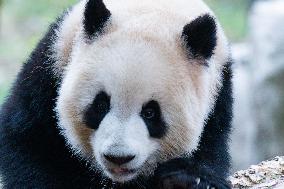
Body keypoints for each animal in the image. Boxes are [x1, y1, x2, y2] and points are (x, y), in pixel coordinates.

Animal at [0, 0, 232, 189]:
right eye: (101, 104)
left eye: (150, 113)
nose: (118, 157)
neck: (152, 12)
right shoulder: (51, 64)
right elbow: (29, 143)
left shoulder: (218, 97)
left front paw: (185, 180)